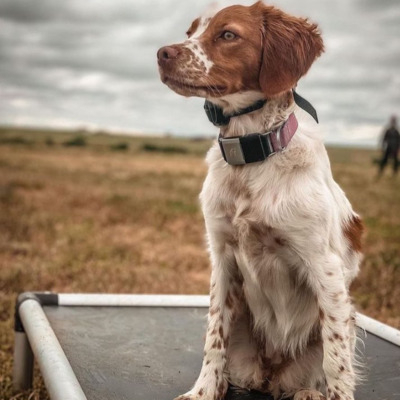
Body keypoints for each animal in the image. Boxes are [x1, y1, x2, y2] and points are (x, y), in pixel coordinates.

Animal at [158, 1, 364, 398]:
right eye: (190, 32)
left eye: (228, 34)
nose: (162, 54)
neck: (251, 157)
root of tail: (272, 377)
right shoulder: (222, 258)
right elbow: (214, 338)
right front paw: (203, 391)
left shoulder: (325, 267)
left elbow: (336, 360)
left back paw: (309, 392)